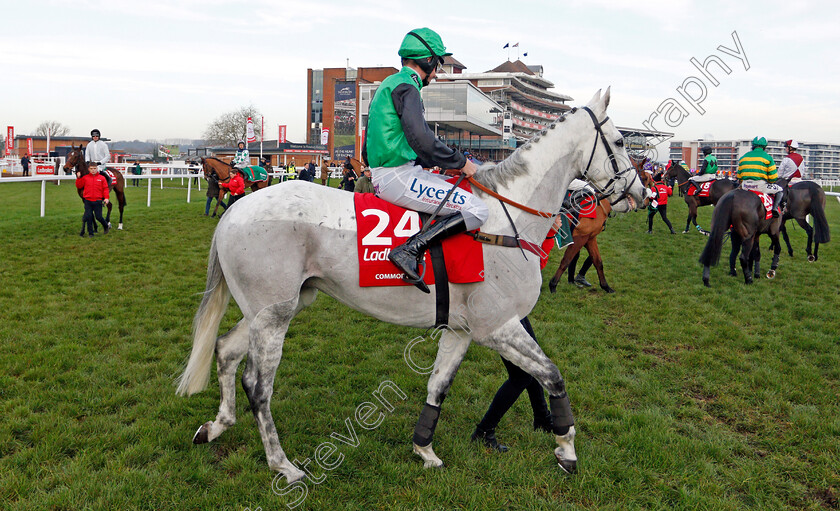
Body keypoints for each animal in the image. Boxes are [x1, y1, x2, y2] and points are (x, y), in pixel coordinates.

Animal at [176, 90, 648, 486]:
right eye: (620, 142)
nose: (639, 194)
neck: (504, 221)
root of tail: (235, 209)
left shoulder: (461, 330)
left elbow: (438, 386)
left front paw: (425, 449)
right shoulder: (498, 326)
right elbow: (551, 375)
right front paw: (566, 448)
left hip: (275, 307)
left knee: (226, 351)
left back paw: (216, 426)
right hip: (273, 316)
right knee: (258, 386)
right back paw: (283, 465)